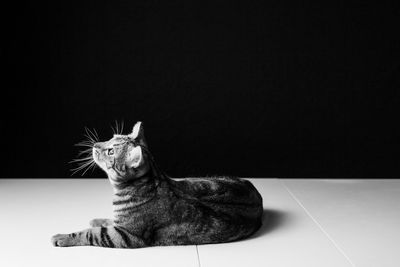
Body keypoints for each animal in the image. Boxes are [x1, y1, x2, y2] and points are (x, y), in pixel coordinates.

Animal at [51, 122, 264, 249]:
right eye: (111, 136)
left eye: (110, 151)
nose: (96, 145)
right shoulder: (121, 226)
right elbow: (108, 220)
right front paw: (99, 219)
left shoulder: (126, 235)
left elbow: (91, 234)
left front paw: (63, 237)